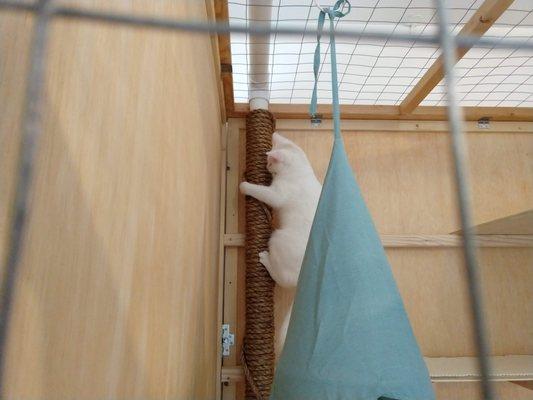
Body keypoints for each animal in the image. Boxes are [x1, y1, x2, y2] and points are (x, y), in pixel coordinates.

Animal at [240, 132, 320, 350]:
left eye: (270, 161)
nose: (267, 166)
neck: (301, 171)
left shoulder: (276, 195)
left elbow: (260, 191)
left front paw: (244, 185)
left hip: (277, 238)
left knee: (282, 277)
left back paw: (265, 258)